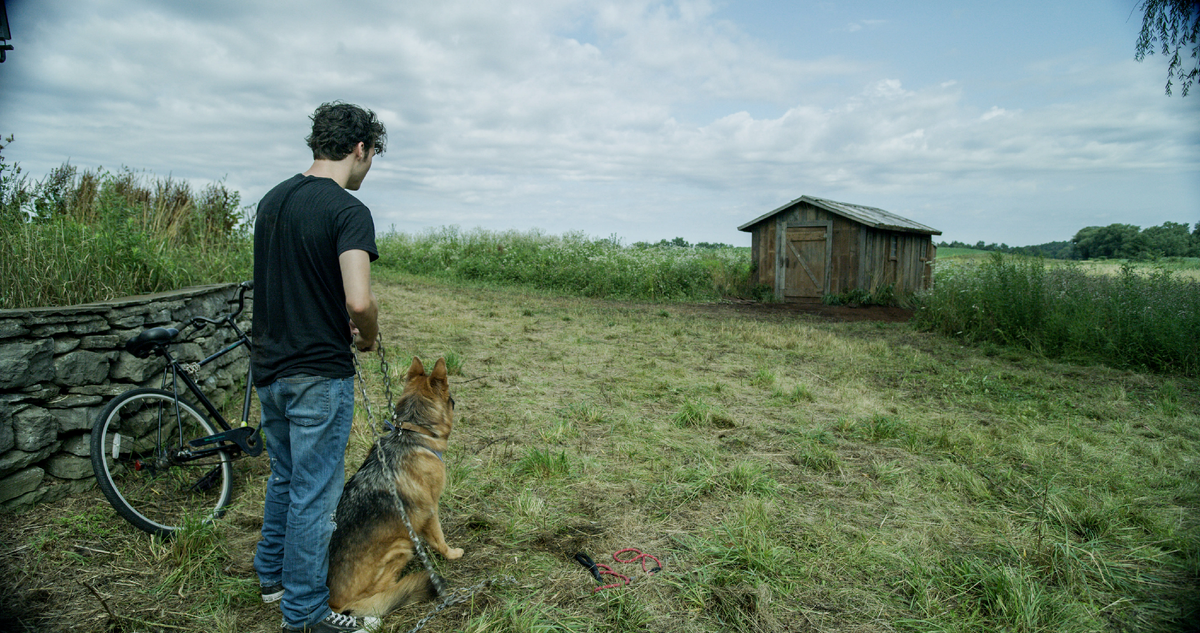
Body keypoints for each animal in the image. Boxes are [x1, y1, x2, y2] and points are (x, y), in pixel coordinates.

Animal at [326, 359, 460, 613]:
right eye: (451, 400)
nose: (455, 402)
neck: (412, 432)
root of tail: (334, 604)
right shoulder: (431, 510)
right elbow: (439, 539)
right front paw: (452, 554)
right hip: (400, 546)